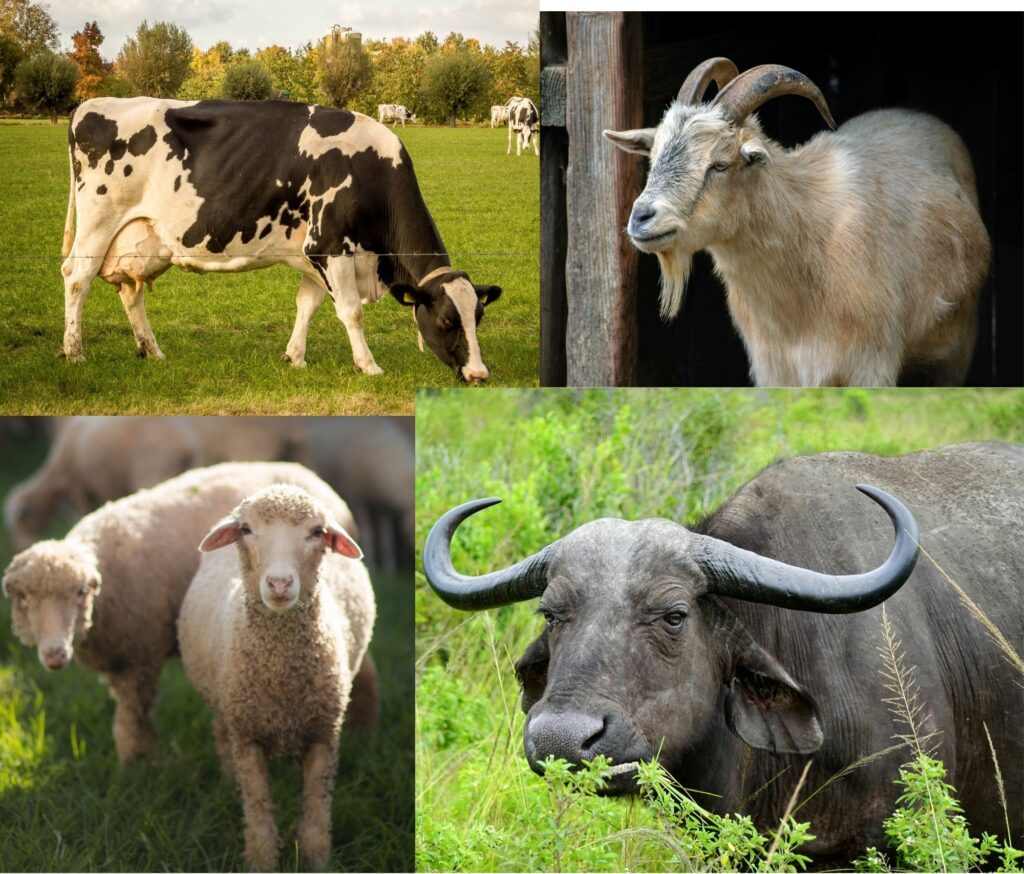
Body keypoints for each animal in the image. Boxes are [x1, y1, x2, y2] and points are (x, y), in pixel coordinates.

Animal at [1, 461, 369, 764]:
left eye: (79, 593)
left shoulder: (139, 658)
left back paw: (363, 731)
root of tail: (310, 476)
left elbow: (131, 722)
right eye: (25, 599)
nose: (54, 655)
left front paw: (134, 768)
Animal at [61, 98, 501, 383]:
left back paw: (152, 351)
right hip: (98, 222)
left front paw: (295, 357)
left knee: (130, 292)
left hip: (140, 237)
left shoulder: (313, 256)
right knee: (77, 279)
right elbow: (351, 312)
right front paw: (368, 365)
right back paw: (74, 352)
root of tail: (87, 106)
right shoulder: (331, 246)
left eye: (478, 316)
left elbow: (307, 305)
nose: (479, 374)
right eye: (446, 320)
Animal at [178, 484, 375, 872]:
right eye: (246, 529)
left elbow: (316, 809)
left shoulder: (324, 735)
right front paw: (261, 860)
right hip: (225, 705)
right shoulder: (247, 737)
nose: (280, 583)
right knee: (221, 737)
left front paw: (316, 859)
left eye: (317, 532)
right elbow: (257, 809)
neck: (281, 676)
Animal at [604, 58, 991, 387]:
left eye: (720, 164)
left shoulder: (871, 364)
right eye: (654, 156)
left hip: (955, 351)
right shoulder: (773, 369)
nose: (641, 218)